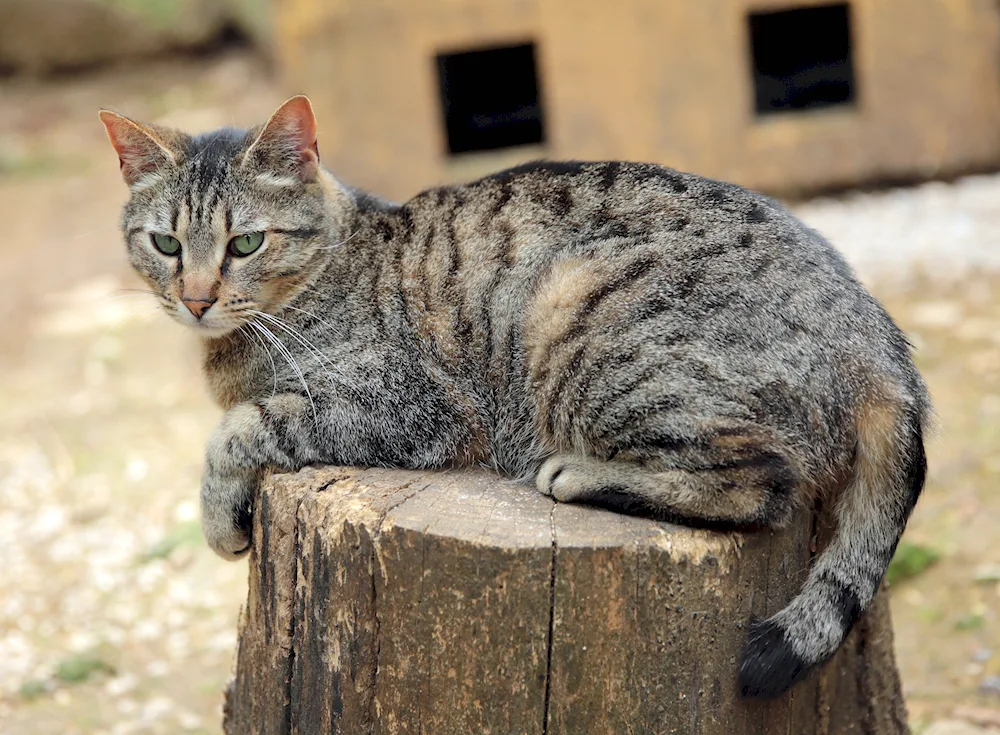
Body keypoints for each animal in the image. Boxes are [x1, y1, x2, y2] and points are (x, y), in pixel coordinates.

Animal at [99, 95, 928, 700]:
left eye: (246, 243)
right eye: (165, 244)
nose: (197, 298)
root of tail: (876, 328)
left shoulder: (407, 403)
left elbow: (241, 426)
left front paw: (218, 513)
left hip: (582, 317)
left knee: (764, 483)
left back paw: (579, 473)